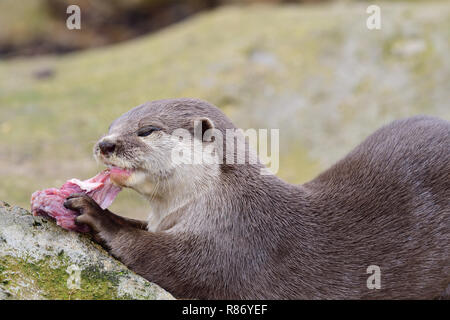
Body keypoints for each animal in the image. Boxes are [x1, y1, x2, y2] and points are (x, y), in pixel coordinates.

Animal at [64, 98, 450, 300]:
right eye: (111, 126)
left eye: (147, 130)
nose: (105, 144)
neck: (223, 202)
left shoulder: (237, 243)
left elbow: (163, 259)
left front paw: (96, 214)